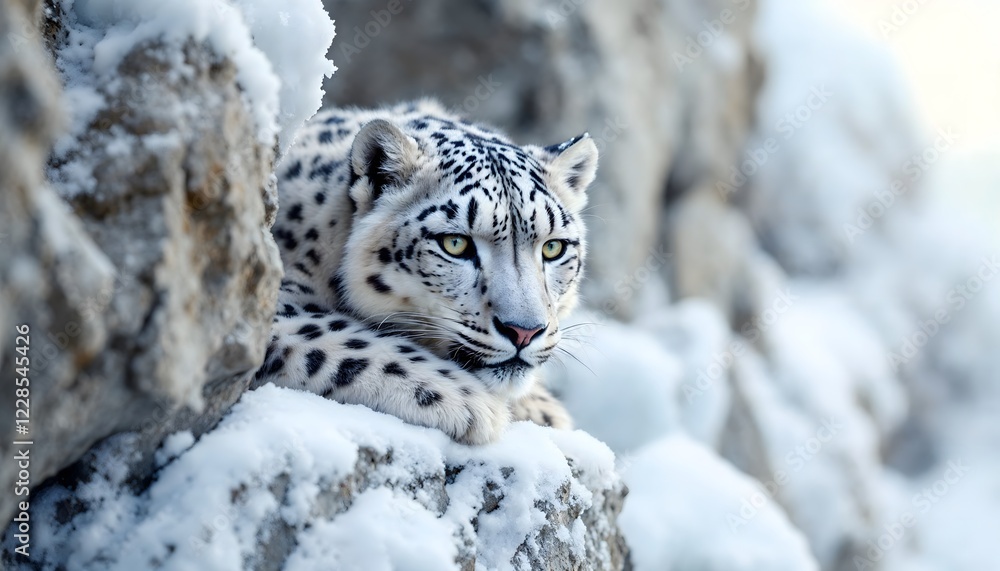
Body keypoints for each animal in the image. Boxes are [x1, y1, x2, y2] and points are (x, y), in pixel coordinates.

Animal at [252, 99, 597, 445]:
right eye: (455, 244)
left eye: (553, 248)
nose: (524, 331)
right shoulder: (275, 298)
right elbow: (330, 331)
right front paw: (471, 401)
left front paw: (545, 412)